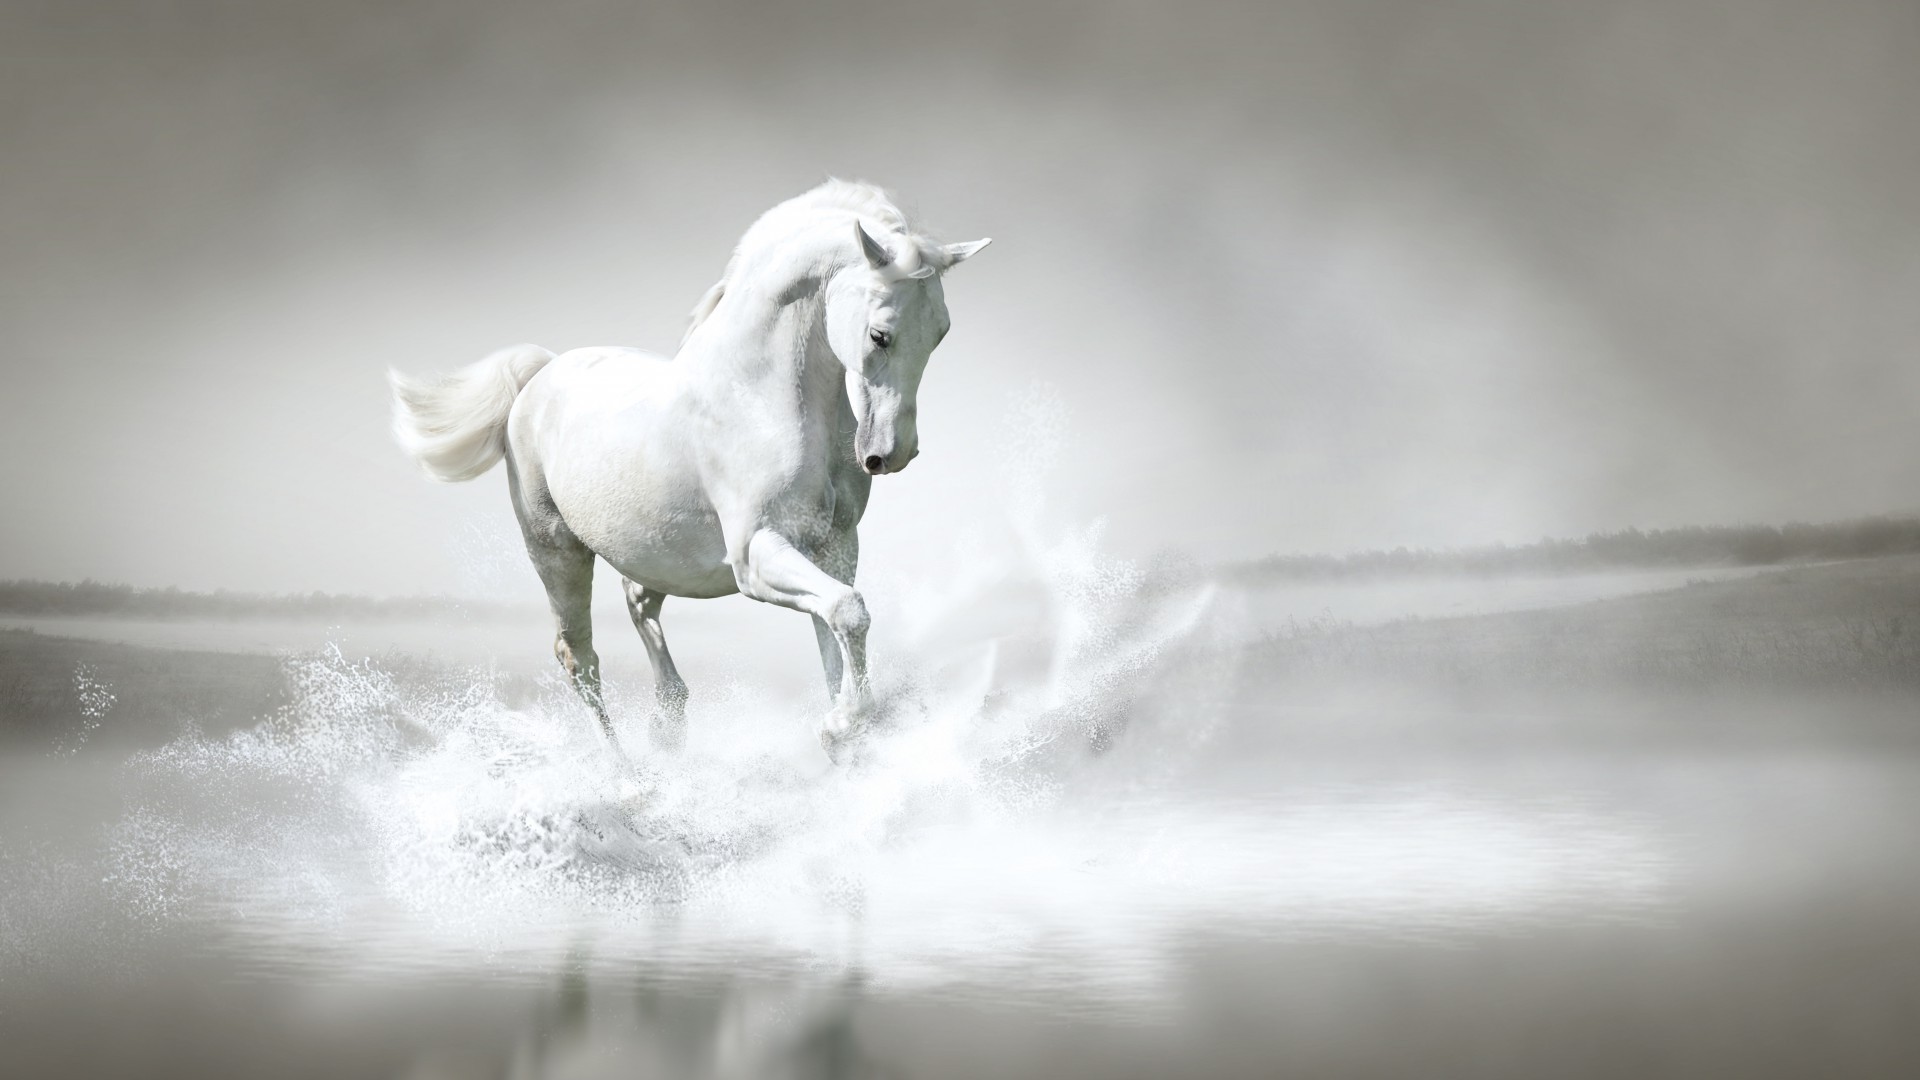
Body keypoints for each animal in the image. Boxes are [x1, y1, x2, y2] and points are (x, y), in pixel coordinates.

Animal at [387, 180, 990, 753]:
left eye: (941, 332)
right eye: (879, 334)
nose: (892, 453)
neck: (759, 398)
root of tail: (541, 374)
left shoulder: (834, 547)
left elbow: (836, 631)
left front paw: (847, 732)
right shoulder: (756, 554)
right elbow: (847, 612)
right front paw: (841, 728)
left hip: (656, 553)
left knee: (637, 605)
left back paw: (668, 724)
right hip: (556, 551)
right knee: (579, 659)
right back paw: (627, 774)